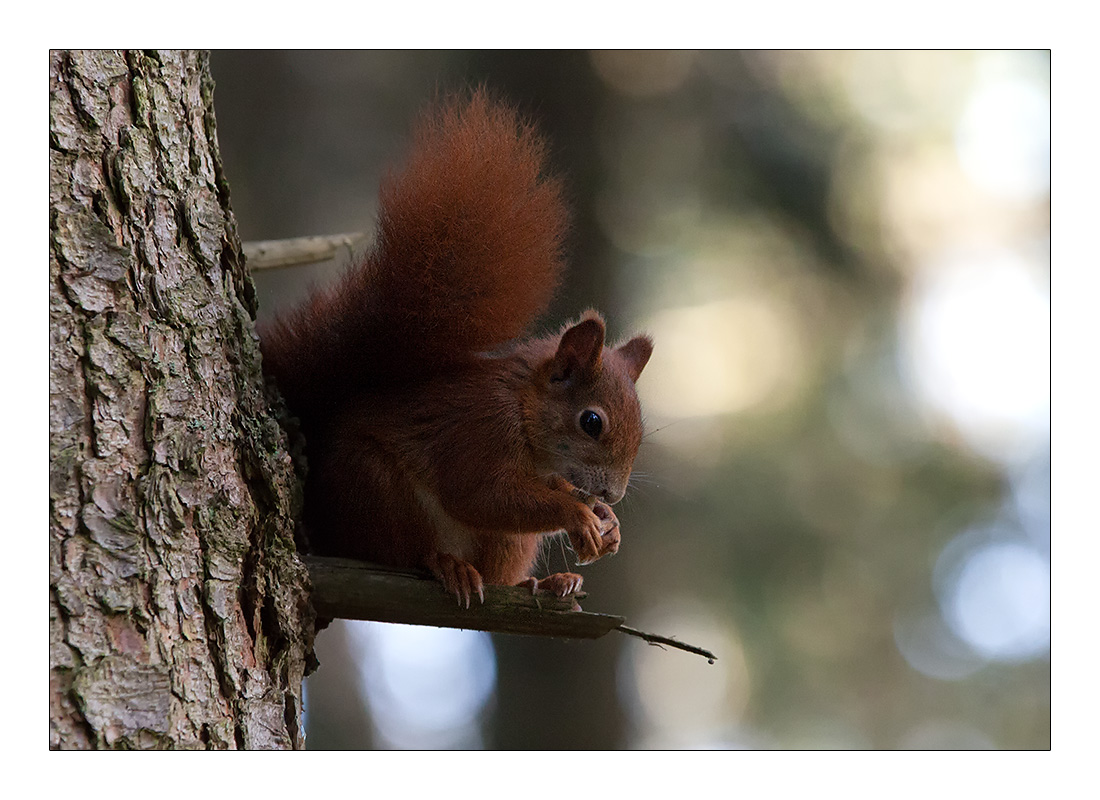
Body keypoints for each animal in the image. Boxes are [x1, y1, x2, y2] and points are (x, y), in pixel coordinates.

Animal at [257, 90, 651, 607]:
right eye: (591, 422)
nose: (613, 495)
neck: (523, 415)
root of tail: (323, 526)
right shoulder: (478, 431)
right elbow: (480, 495)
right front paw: (579, 515)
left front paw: (609, 523)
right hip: (376, 488)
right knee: (399, 551)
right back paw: (448, 565)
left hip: (504, 543)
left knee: (502, 564)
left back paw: (543, 582)